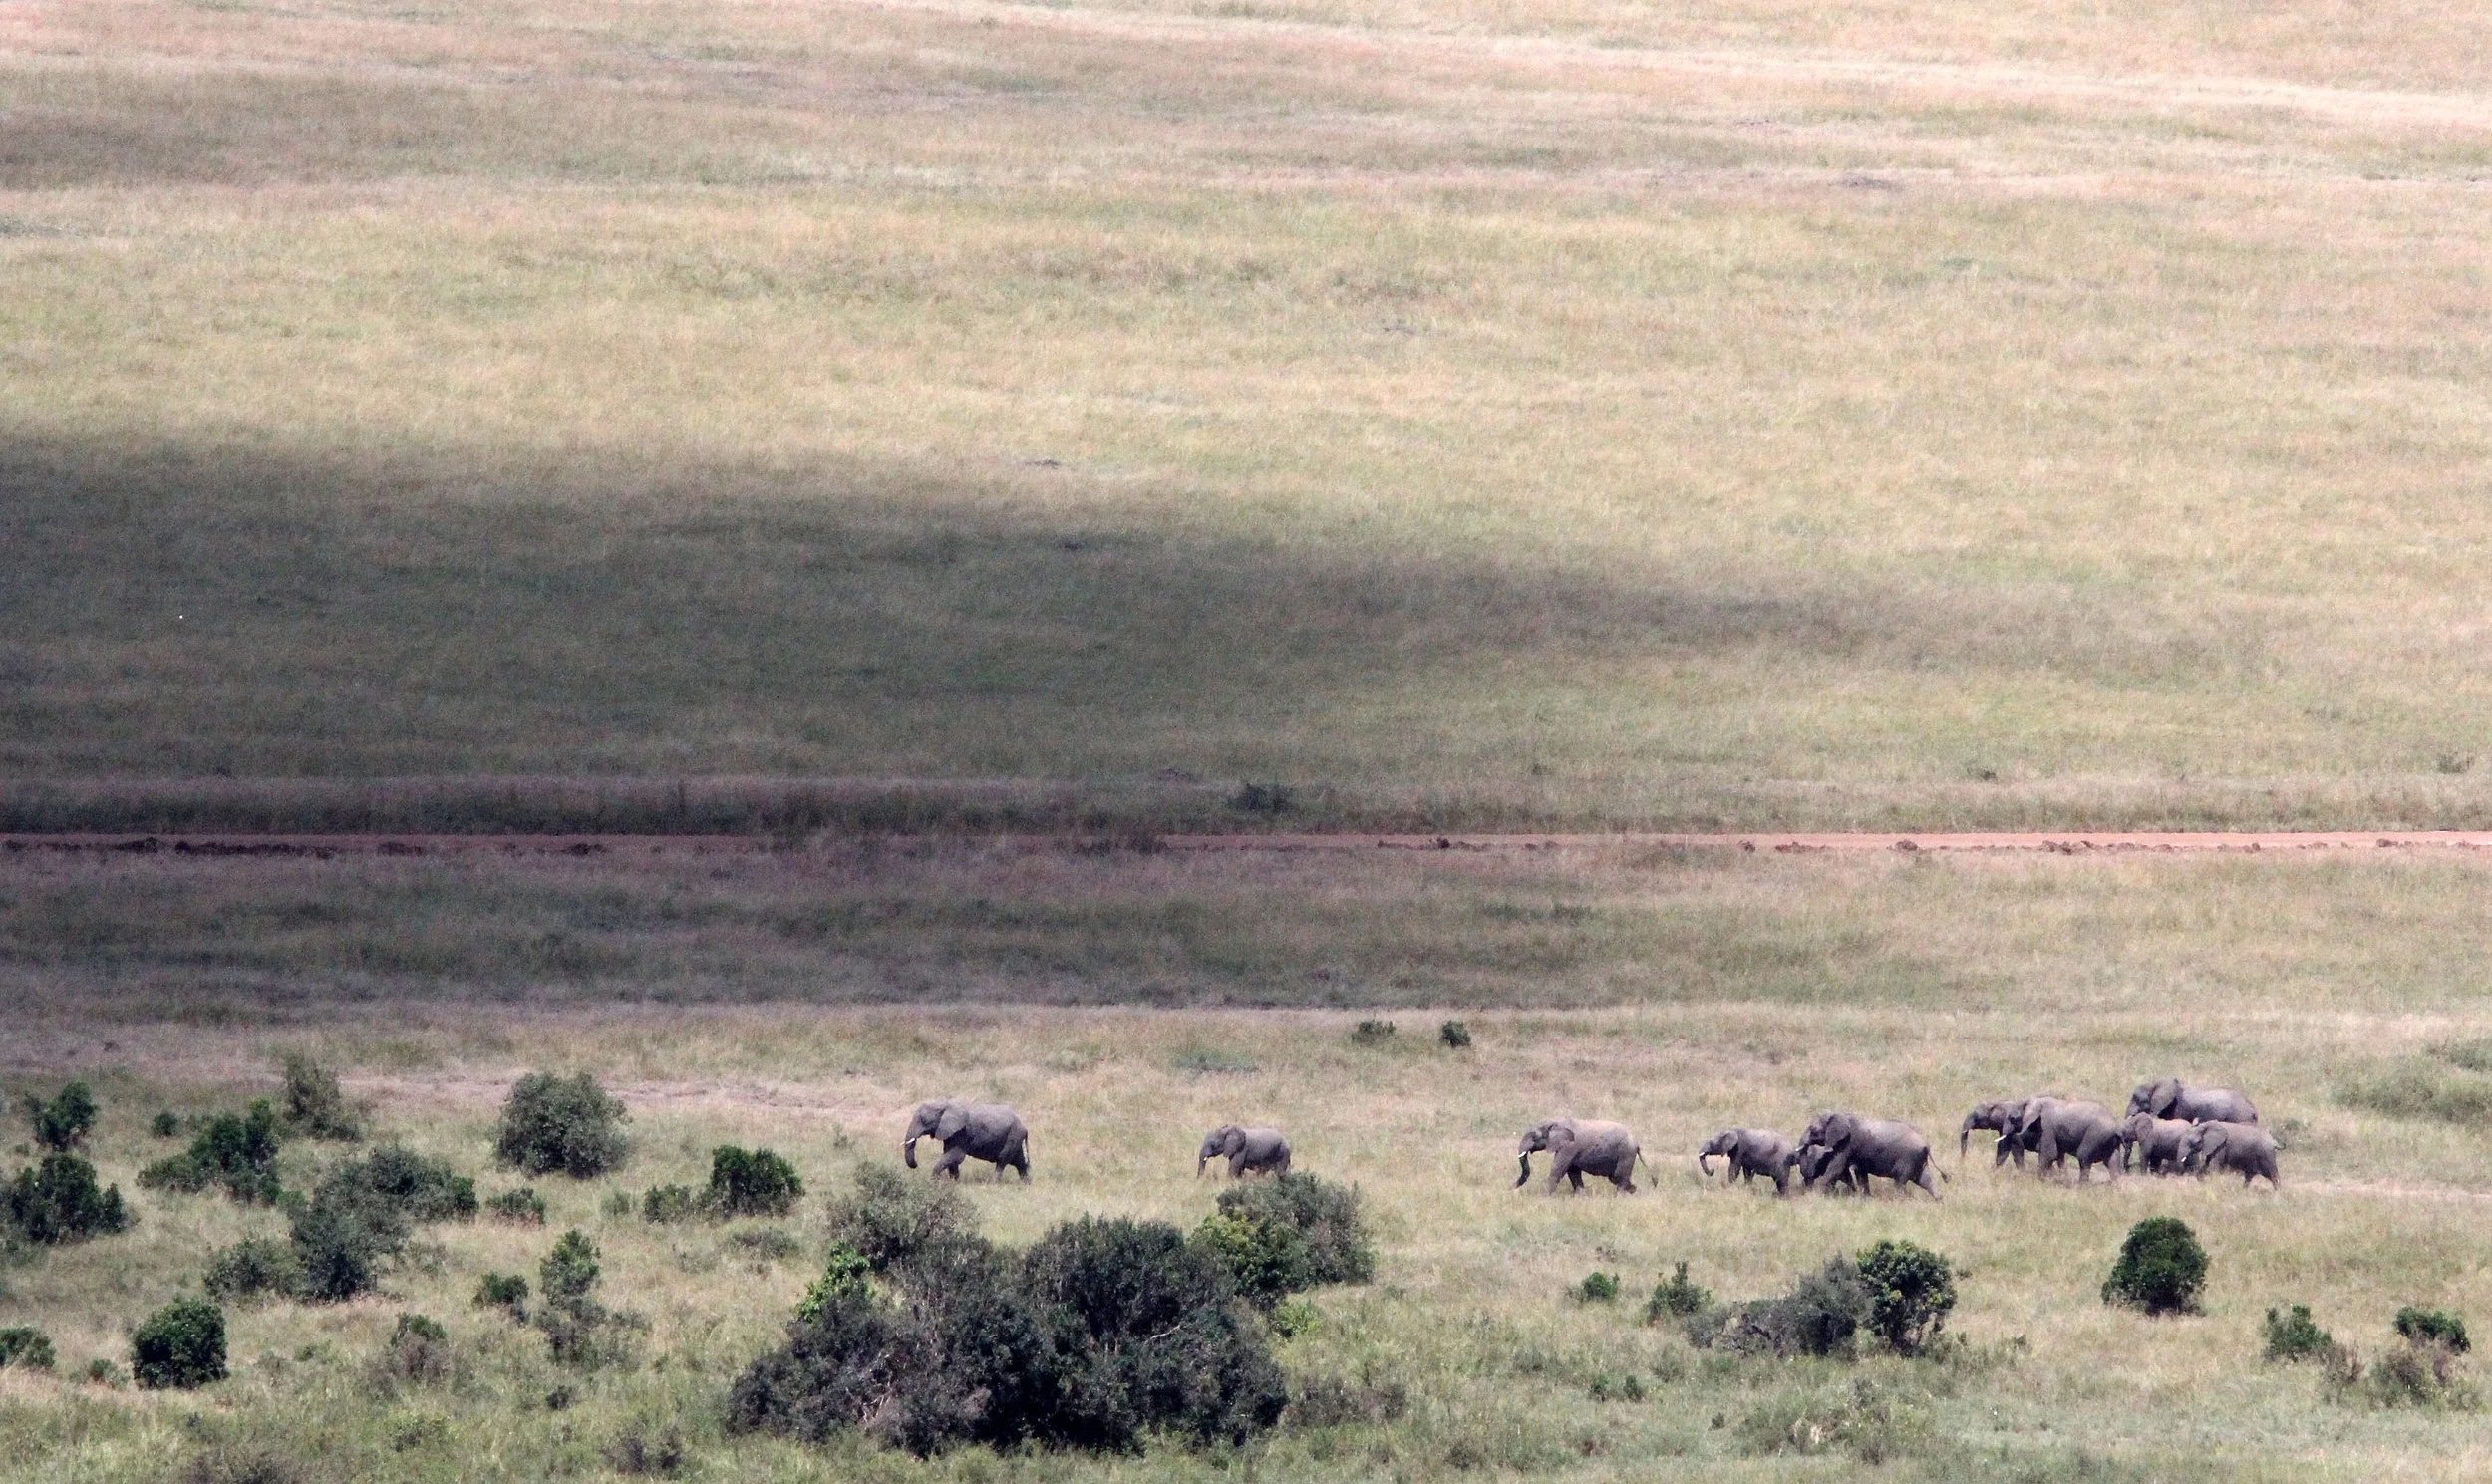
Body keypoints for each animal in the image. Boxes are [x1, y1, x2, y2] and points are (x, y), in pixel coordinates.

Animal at [903, 1099, 1030, 1181]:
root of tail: (1024, 1126)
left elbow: (955, 1155)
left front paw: (934, 1180)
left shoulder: (961, 1132)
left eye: (924, 1120)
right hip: (1015, 1137)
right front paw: (953, 1181)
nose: (916, 1164)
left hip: (1013, 1135)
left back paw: (993, 1183)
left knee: (1002, 1159)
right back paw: (1025, 1183)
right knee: (1019, 1161)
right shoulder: (951, 1133)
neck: (944, 1104)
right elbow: (950, 1156)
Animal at [1797, 1111, 1942, 1199]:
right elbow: (1859, 1172)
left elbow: (1836, 1169)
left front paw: (1816, 1195)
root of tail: (1926, 1145)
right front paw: (1865, 1198)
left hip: (1908, 1158)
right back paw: (1939, 1201)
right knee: (1925, 1180)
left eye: (1813, 1130)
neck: (1839, 1114)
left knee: (1900, 1182)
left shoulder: (1847, 1144)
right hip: (1918, 1160)